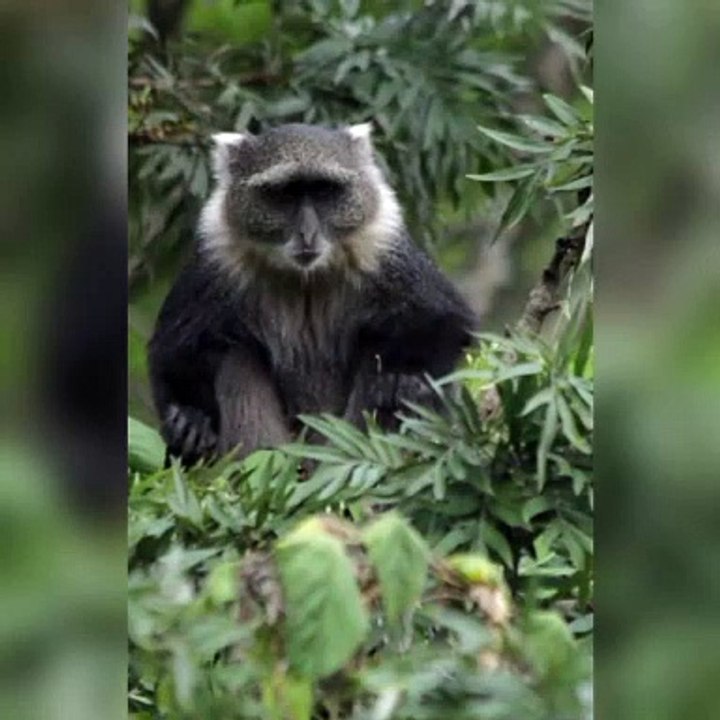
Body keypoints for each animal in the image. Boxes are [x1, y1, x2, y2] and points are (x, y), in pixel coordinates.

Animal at [148, 123, 477, 465]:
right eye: (285, 194)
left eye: (322, 191)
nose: (307, 233)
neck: (305, 278)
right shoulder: (216, 257)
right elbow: (173, 353)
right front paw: (190, 423)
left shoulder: (385, 249)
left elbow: (444, 322)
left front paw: (406, 382)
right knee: (237, 355)